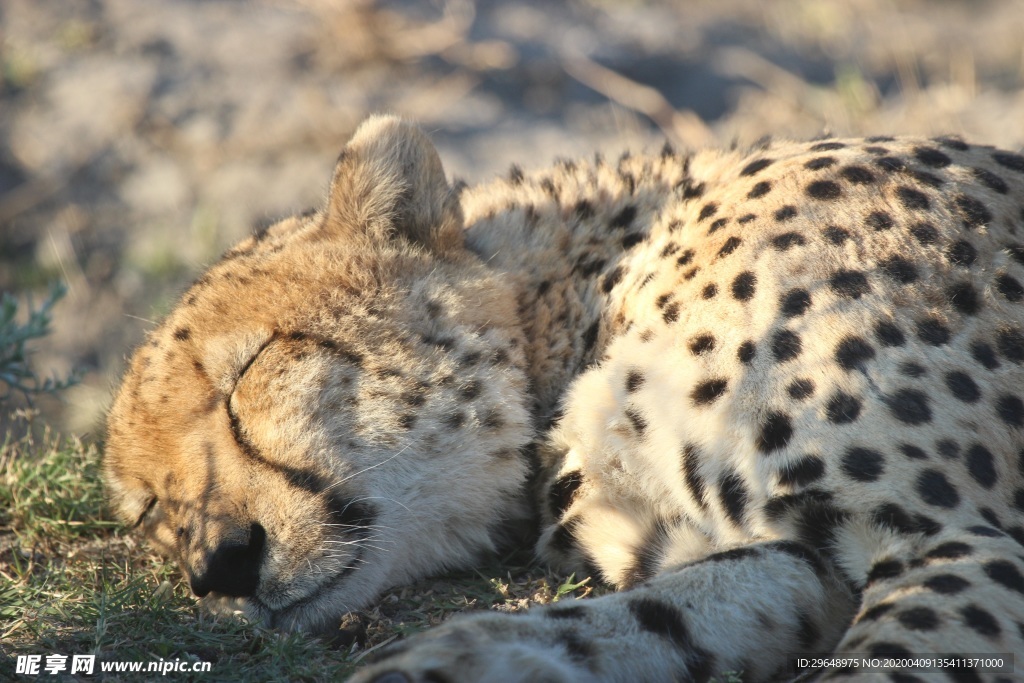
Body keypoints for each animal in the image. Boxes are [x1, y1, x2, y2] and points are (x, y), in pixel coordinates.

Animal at [105, 114, 1024, 679]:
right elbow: (654, 614)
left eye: (250, 370)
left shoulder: (959, 538)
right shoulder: (804, 556)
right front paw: (454, 660)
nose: (221, 566)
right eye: (152, 508)